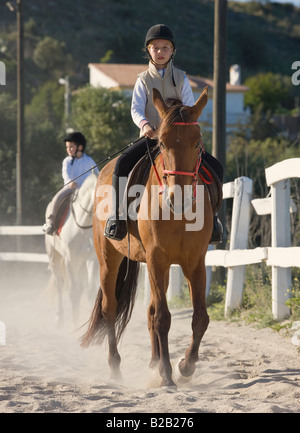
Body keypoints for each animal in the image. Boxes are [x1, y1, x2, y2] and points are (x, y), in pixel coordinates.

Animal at [45, 170, 98, 326]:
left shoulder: (92, 260)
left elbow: (90, 291)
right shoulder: (70, 261)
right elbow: (73, 293)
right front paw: (75, 324)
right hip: (55, 258)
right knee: (60, 284)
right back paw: (59, 317)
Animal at [81, 86, 214, 386]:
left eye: (197, 143)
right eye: (162, 144)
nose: (179, 198)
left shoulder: (194, 262)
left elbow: (200, 317)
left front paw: (185, 366)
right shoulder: (157, 258)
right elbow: (163, 318)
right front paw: (167, 375)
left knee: (150, 308)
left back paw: (154, 362)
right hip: (109, 260)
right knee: (110, 308)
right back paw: (116, 367)